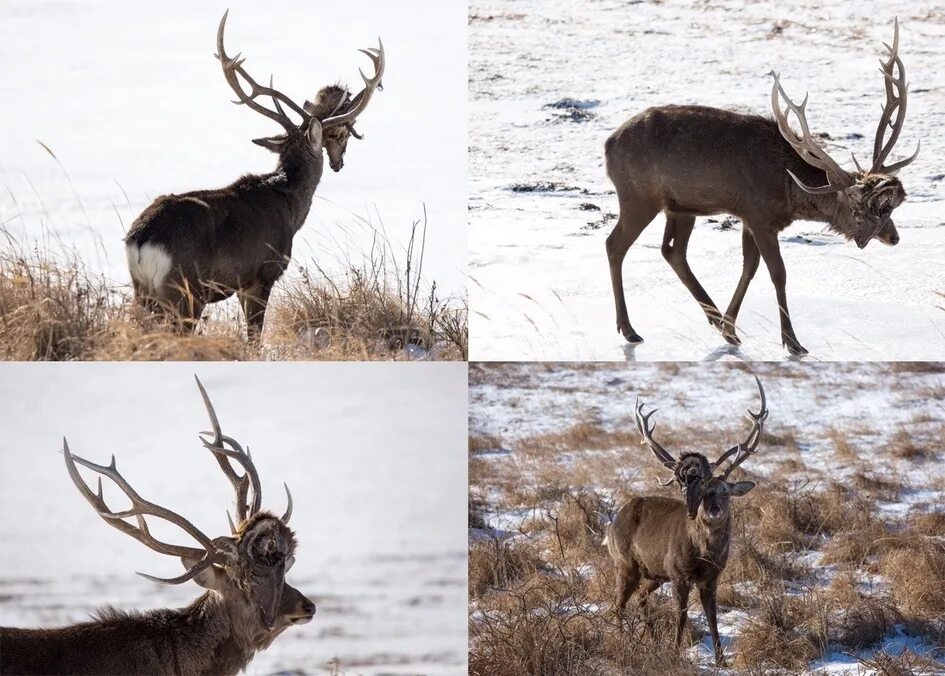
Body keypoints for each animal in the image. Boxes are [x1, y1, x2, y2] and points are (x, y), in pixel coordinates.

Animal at [125, 14, 384, 344]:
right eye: (337, 136)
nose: (339, 163)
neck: (290, 205)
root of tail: (141, 240)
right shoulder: (261, 274)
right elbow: (254, 339)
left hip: (142, 291)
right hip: (184, 289)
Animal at [604, 20, 920, 354]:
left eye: (889, 209)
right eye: (862, 208)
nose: (894, 236)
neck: (787, 190)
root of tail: (608, 145)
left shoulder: (748, 217)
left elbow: (749, 268)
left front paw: (730, 329)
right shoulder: (760, 216)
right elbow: (777, 273)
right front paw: (792, 341)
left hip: (680, 206)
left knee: (672, 251)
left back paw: (712, 318)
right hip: (637, 196)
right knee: (615, 245)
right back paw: (629, 329)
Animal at [604, 374, 768, 664]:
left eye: (725, 491)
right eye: (703, 492)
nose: (714, 510)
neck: (704, 555)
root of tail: (612, 523)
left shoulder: (712, 578)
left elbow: (713, 619)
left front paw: (721, 660)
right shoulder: (679, 575)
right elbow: (680, 617)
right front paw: (675, 652)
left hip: (654, 572)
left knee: (641, 597)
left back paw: (649, 640)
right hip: (625, 564)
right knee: (617, 604)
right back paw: (624, 642)